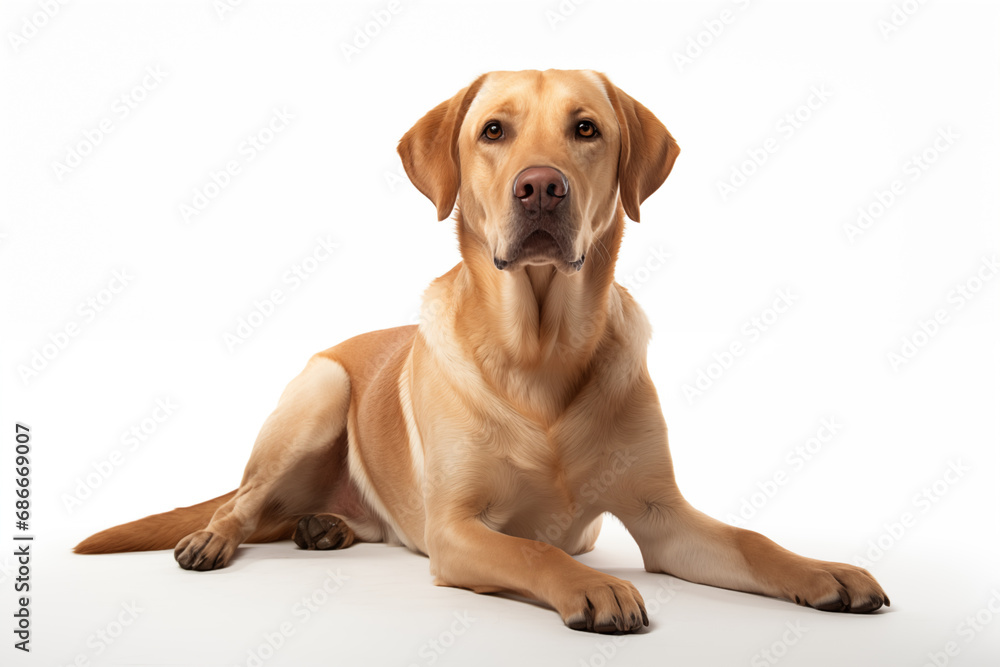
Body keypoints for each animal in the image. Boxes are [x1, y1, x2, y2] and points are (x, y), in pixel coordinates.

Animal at [80, 70, 892, 636]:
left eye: (586, 128)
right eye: (494, 130)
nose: (541, 187)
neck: (541, 350)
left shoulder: (664, 517)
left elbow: (753, 538)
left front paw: (822, 570)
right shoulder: (458, 530)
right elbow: (536, 550)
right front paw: (592, 585)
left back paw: (325, 524)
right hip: (318, 393)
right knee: (242, 505)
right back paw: (213, 538)